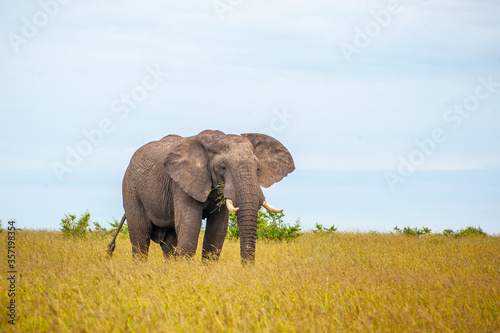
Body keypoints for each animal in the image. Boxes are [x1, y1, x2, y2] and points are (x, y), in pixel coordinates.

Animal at [105, 130, 292, 262]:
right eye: (223, 168)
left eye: (257, 168)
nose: (247, 269)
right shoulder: (180, 184)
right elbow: (190, 228)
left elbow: (217, 231)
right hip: (131, 189)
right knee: (140, 239)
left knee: (169, 243)